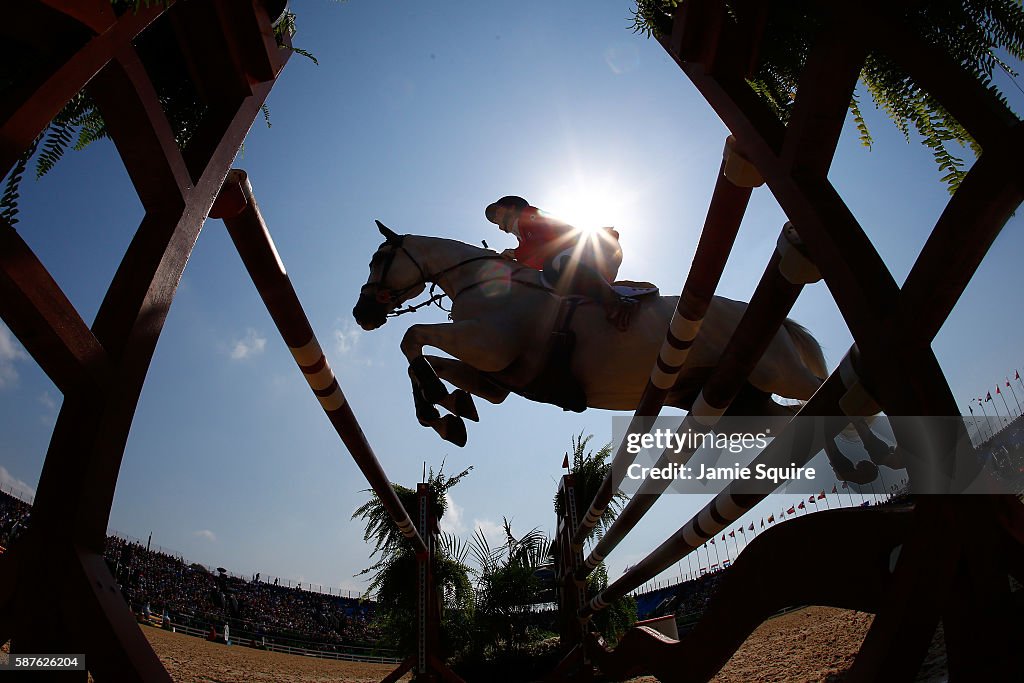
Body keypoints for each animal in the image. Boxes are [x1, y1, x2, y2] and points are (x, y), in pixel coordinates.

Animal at [352, 222, 831, 450]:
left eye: (378, 258)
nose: (361, 314)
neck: (477, 281)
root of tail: (779, 323)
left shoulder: (487, 346)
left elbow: (413, 337)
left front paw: (438, 402)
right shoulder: (496, 380)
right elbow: (434, 366)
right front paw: (449, 413)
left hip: (777, 372)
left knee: (821, 391)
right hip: (741, 403)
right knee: (797, 415)